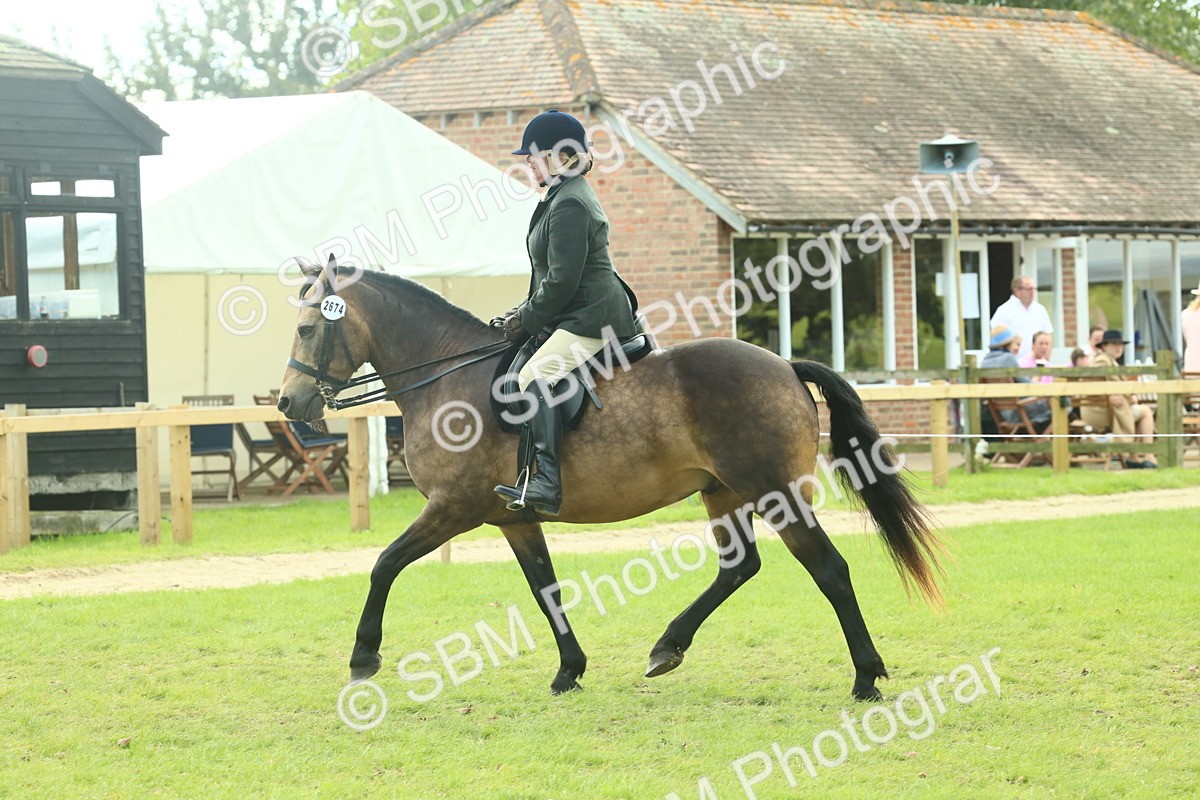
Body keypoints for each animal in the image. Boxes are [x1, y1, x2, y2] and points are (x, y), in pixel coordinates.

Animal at [277, 260, 945, 701]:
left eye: (308, 329)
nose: (288, 403)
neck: (448, 378)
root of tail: (783, 364)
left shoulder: (453, 507)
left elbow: (384, 564)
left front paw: (364, 656)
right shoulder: (513, 516)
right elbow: (544, 588)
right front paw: (569, 670)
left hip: (774, 493)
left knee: (828, 569)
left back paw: (866, 678)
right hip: (723, 493)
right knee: (740, 566)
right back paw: (667, 647)